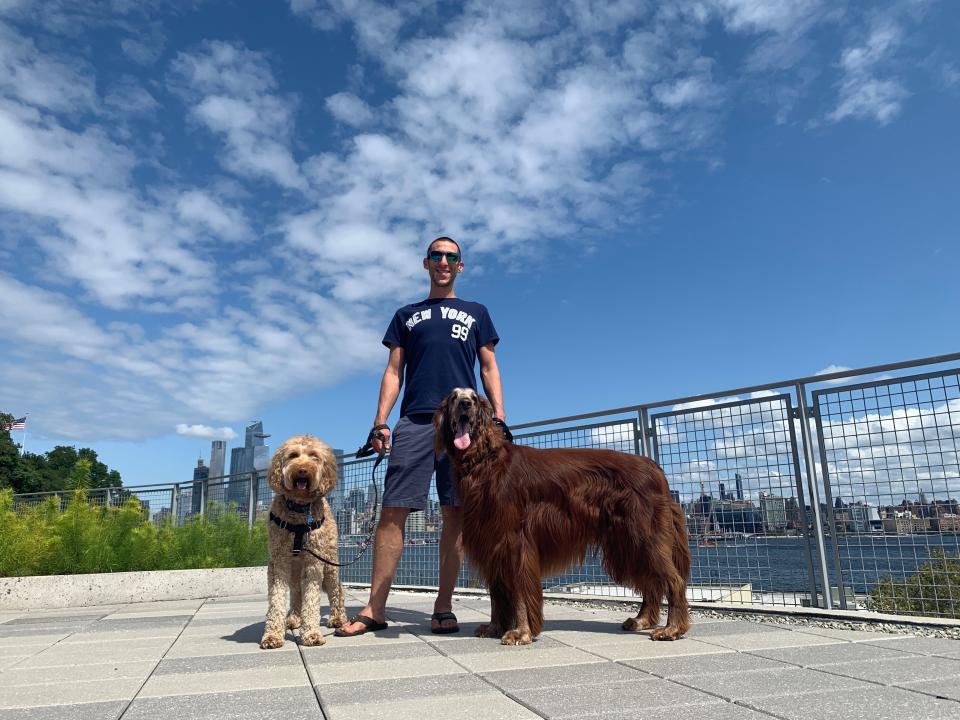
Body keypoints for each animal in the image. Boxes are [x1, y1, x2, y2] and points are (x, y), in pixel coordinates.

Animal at [260, 436, 346, 648]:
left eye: (314, 456)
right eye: (293, 455)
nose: (302, 470)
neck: (299, 510)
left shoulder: (314, 563)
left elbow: (312, 599)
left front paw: (312, 634)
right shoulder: (279, 561)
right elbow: (276, 598)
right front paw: (273, 635)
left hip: (329, 564)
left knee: (337, 590)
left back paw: (338, 618)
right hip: (294, 570)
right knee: (297, 592)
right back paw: (293, 619)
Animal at [436, 390, 688, 644]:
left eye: (473, 398)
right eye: (454, 397)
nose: (465, 404)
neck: (485, 461)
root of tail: (654, 467)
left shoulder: (514, 542)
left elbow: (518, 591)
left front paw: (521, 631)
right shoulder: (490, 543)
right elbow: (497, 593)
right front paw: (494, 627)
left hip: (643, 537)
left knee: (674, 580)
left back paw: (672, 628)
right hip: (627, 543)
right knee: (651, 581)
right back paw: (642, 619)